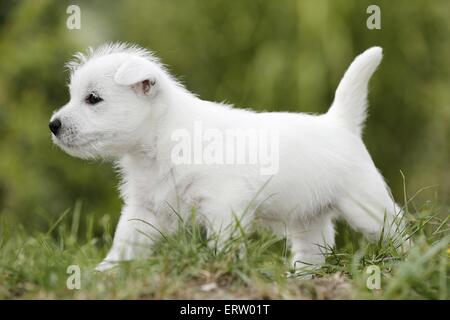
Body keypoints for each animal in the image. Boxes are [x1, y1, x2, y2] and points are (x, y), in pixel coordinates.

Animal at [50, 43, 404, 272]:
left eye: (93, 99)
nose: (53, 125)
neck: (161, 141)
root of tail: (340, 123)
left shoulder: (223, 207)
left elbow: (223, 244)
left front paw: (221, 266)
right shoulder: (145, 209)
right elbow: (124, 243)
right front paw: (105, 272)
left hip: (365, 205)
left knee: (398, 230)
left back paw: (407, 261)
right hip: (308, 219)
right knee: (313, 251)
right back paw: (301, 276)